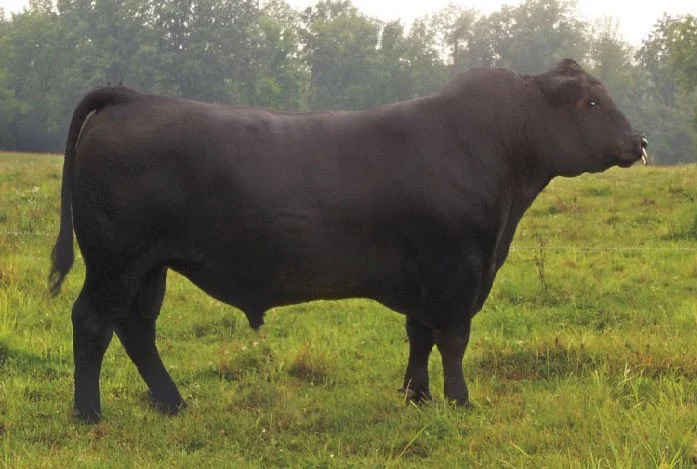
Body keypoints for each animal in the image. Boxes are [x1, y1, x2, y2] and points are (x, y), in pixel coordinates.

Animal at [50, 58, 647, 422]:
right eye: (593, 103)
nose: (639, 141)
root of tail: (133, 97)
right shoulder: (459, 270)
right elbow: (453, 340)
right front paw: (459, 402)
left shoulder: (426, 278)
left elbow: (420, 336)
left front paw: (416, 396)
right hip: (115, 259)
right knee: (93, 321)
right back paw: (89, 413)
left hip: (149, 265)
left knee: (136, 329)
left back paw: (173, 404)